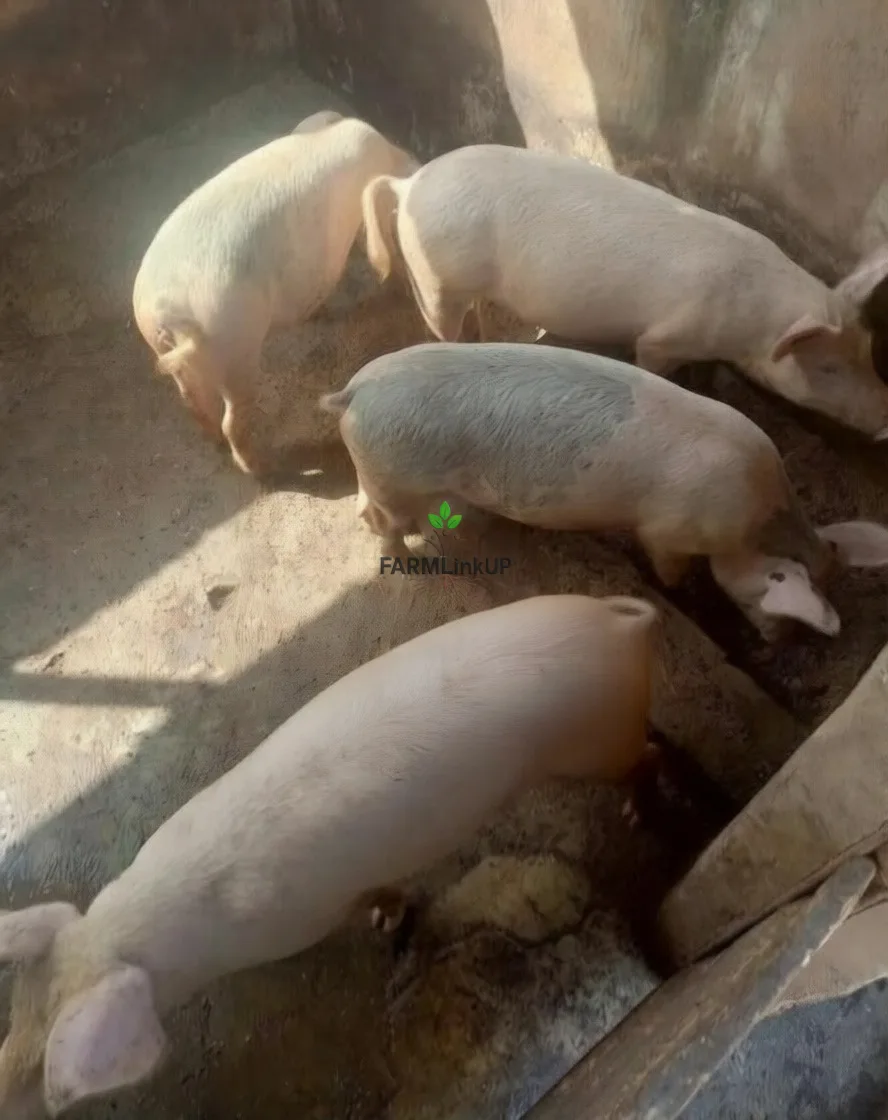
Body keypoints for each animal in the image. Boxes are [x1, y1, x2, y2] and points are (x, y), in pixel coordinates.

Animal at [0, 593, 658, 1118]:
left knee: (644, 756)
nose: (6, 1096)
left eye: (41, 1067)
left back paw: (634, 814)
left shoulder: (309, 916)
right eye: (16, 1014)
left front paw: (385, 920)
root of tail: (618, 622)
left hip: (599, 738)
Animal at [132, 109, 418, 475]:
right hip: (233, 339)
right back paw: (260, 468)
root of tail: (169, 311)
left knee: (194, 401)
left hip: (168, 348)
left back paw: (215, 442)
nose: (415, 160)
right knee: (232, 418)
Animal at [320, 342, 888, 639]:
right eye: (770, 600)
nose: (776, 644)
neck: (758, 516)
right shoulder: (664, 531)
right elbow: (669, 569)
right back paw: (411, 564)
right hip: (393, 474)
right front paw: (682, 593)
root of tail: (353, 392)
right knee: (384, 526)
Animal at [361, 144, 888, 438]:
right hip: (438, 275)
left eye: (869, 352)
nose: (883, 421)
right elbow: (656, 364)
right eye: (828, 367)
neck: (752, 324)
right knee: (440, 320)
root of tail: (410, 183)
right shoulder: (662, 338)